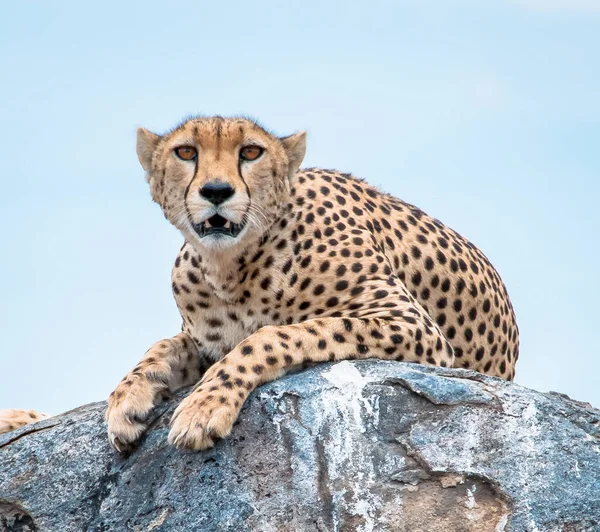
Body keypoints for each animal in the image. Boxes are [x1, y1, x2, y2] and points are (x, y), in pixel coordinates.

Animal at [0, 116, 516, 448]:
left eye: (250, 152)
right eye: (186, 152)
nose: (216, 191)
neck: (233, 265)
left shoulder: (409, 324)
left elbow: (276, 335)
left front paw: (203, 408)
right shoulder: (203, 340)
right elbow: (161, 347)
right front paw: (127, 398)